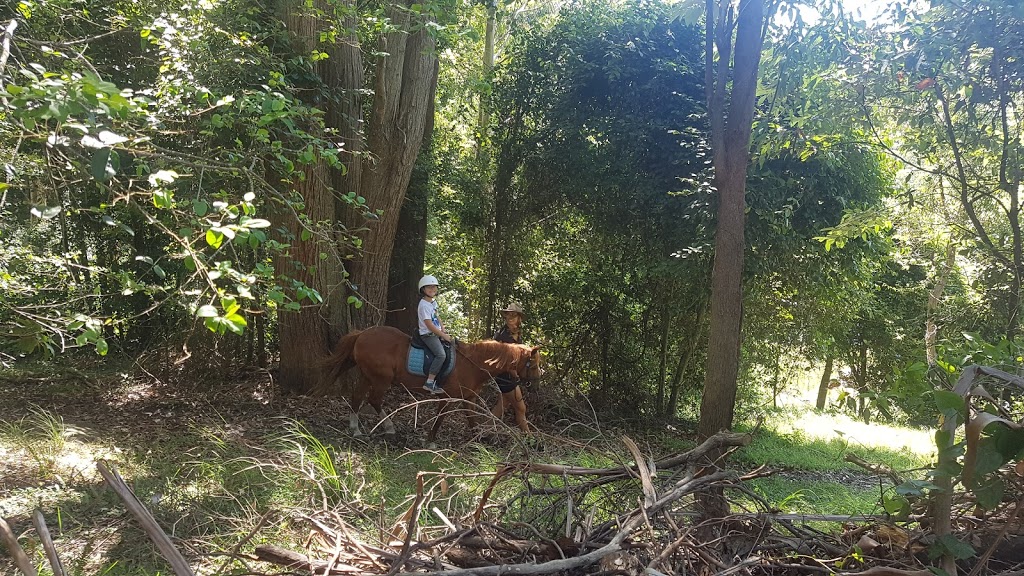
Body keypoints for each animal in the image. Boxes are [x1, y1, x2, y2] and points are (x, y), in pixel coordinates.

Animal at [319, 325, 544, 436]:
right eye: (533, 365)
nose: (537, 382)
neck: (471, 363)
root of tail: (362, 334)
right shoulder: (447, 397)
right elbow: (440, 418)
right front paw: (431, 441)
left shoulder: (468, 397)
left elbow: (471, 418)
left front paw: (479, 438)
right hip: (381, 378)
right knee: (373, 399)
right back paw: (388, 427)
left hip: (368, 375)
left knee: (357, 397)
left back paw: (355, 428)